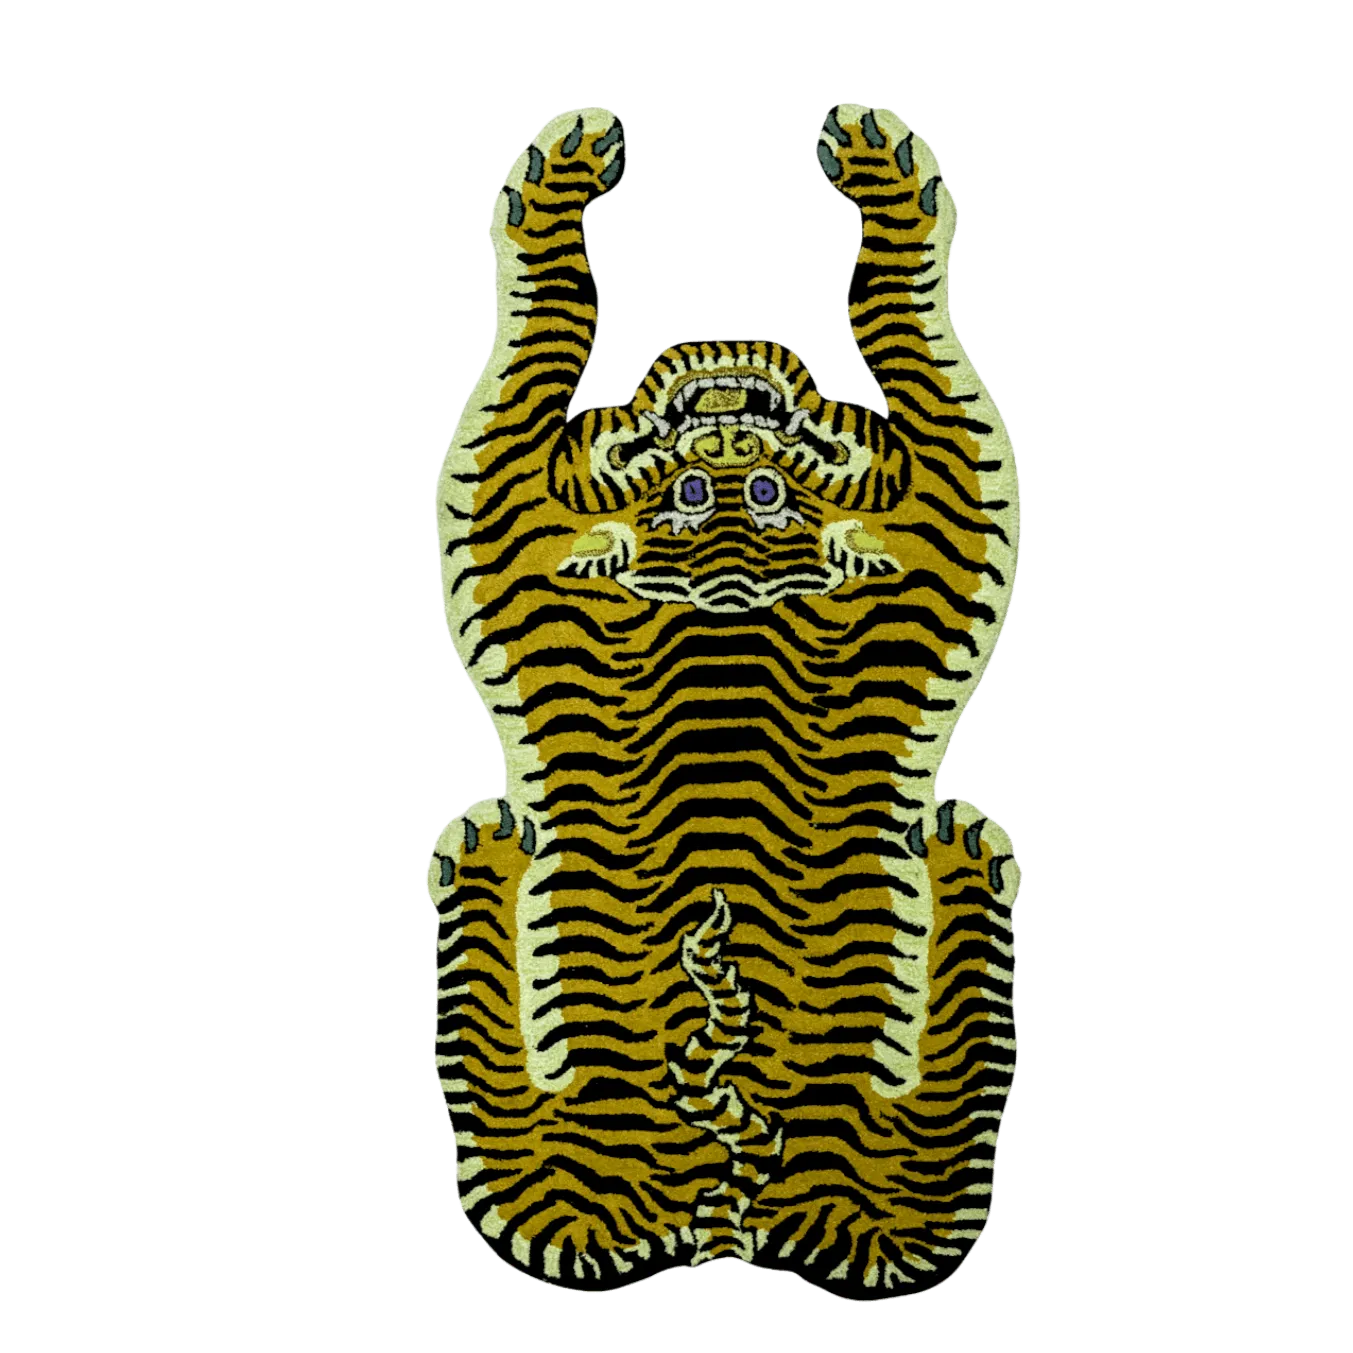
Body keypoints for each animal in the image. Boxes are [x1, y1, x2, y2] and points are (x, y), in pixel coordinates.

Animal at [428, 101, 1022, 1304]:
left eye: (767, 478)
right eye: (690, 481)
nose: (729, 400)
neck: (728, 586)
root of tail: (726, 1217)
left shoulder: (946, 509)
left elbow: (913, 345)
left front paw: (884, 176)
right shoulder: (510, 511)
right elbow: (535, 350)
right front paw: (562, 176)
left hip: (892, 1159)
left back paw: (961, 857)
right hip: (567, 1152)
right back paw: (483, 853)